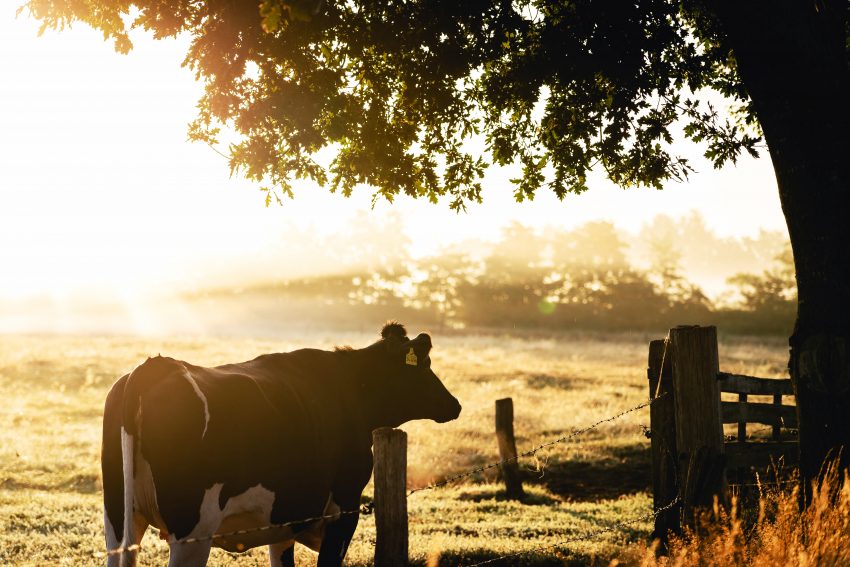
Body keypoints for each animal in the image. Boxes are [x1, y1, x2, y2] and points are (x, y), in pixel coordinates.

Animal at [102, 324, 460, 567]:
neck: (350, 390)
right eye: (425, 365)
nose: (454, 404)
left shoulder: (284, 519)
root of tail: (153, 367)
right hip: (192, 530)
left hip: (119, 520)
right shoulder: (343, 510)